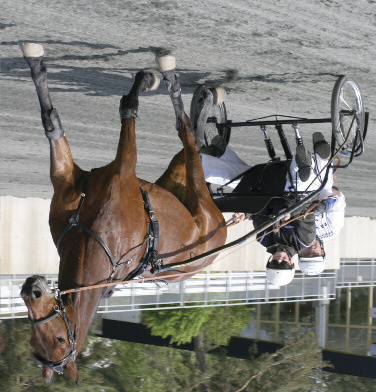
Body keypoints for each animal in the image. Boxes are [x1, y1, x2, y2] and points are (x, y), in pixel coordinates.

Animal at [19, 43, 226, 386]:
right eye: (34, 340)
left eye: (60, 338)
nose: (31, 289)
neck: (91, 236)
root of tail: (216, 242)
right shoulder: (81, 179)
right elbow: (53, 123)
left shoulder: (120, 173)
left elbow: (113, 112)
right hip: (184, 189)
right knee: (191, 142)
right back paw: (200, 101)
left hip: (203, 205)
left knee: (187, 135)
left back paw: (182, 85)